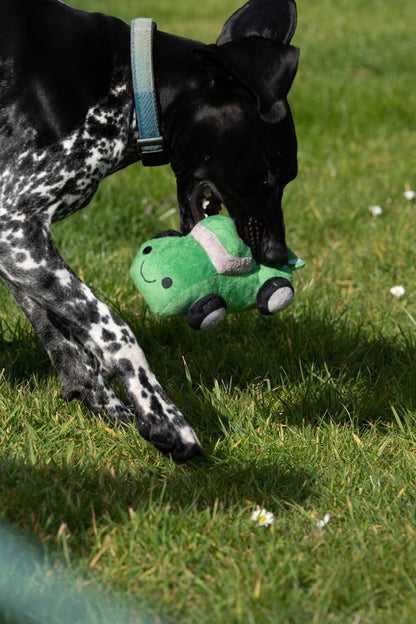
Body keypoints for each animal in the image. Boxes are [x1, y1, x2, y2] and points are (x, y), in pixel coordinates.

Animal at [0, 0, 300, 458]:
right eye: (268, 172)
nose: (276, 255)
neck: (125, 87)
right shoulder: (15, 223)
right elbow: (113, 328)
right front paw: (163, 415)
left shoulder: (19, 240)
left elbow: (61, 335)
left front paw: (104, 402)